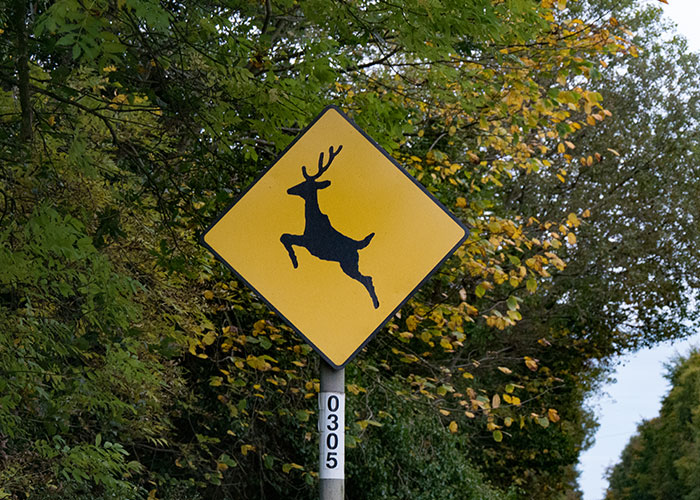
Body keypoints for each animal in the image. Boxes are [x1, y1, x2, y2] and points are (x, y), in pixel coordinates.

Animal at [280, 145, 380, 309]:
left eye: (304, 184)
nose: (289, 189)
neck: (311, 219)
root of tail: (358, 244)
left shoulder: (308, 242)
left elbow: (285, 237)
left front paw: (295, 261)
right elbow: (285, 237)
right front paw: (294, 260)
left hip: (349, 264)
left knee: (367, 278)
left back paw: (376, 304)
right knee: (368, 277)